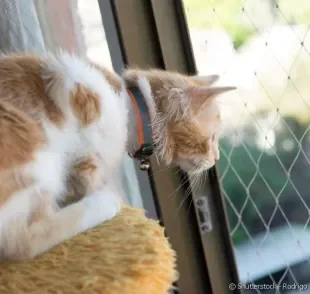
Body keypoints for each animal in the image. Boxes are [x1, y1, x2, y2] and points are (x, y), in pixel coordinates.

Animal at [0, 52, 234, 260]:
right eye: (213, 138)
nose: (216, 158)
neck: (130, 107)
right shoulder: (83, 116)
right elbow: (88, 176)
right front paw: (98, 195)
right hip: (35, 157)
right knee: (22, 243)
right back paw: (104, 202)